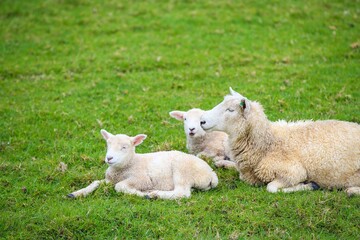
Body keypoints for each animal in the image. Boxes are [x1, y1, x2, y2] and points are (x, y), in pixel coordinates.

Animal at [68, 129, 219, 199]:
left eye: (124, 147)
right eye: (108, 145)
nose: (109, 158)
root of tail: (211, 174)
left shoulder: (142, 179)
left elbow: (119, 186)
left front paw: (138, 193)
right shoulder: (109, 180)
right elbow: (95, 183)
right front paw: (77, 193)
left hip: (182, 170)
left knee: (182, 193)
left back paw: (153, 194)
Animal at [200, 87, 360, 196]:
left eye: (230, 110)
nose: (202, 121)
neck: (268, 144)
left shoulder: (294, 172)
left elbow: (271, 188)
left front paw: (308, 186)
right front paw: (223, 163)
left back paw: (351, 190)